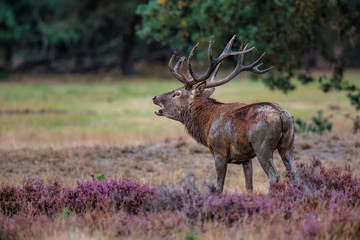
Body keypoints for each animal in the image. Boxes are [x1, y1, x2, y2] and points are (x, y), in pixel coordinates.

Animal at [152, 35, 296, 193]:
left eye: (177, 93)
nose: (154, 97)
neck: (205, 125)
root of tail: (282, 116)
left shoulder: (219, 151)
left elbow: (219, 185)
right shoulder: (245, 158)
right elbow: (249, 186)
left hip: (262, 145)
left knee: (274, 176)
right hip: (288, 144)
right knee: (293, 173)